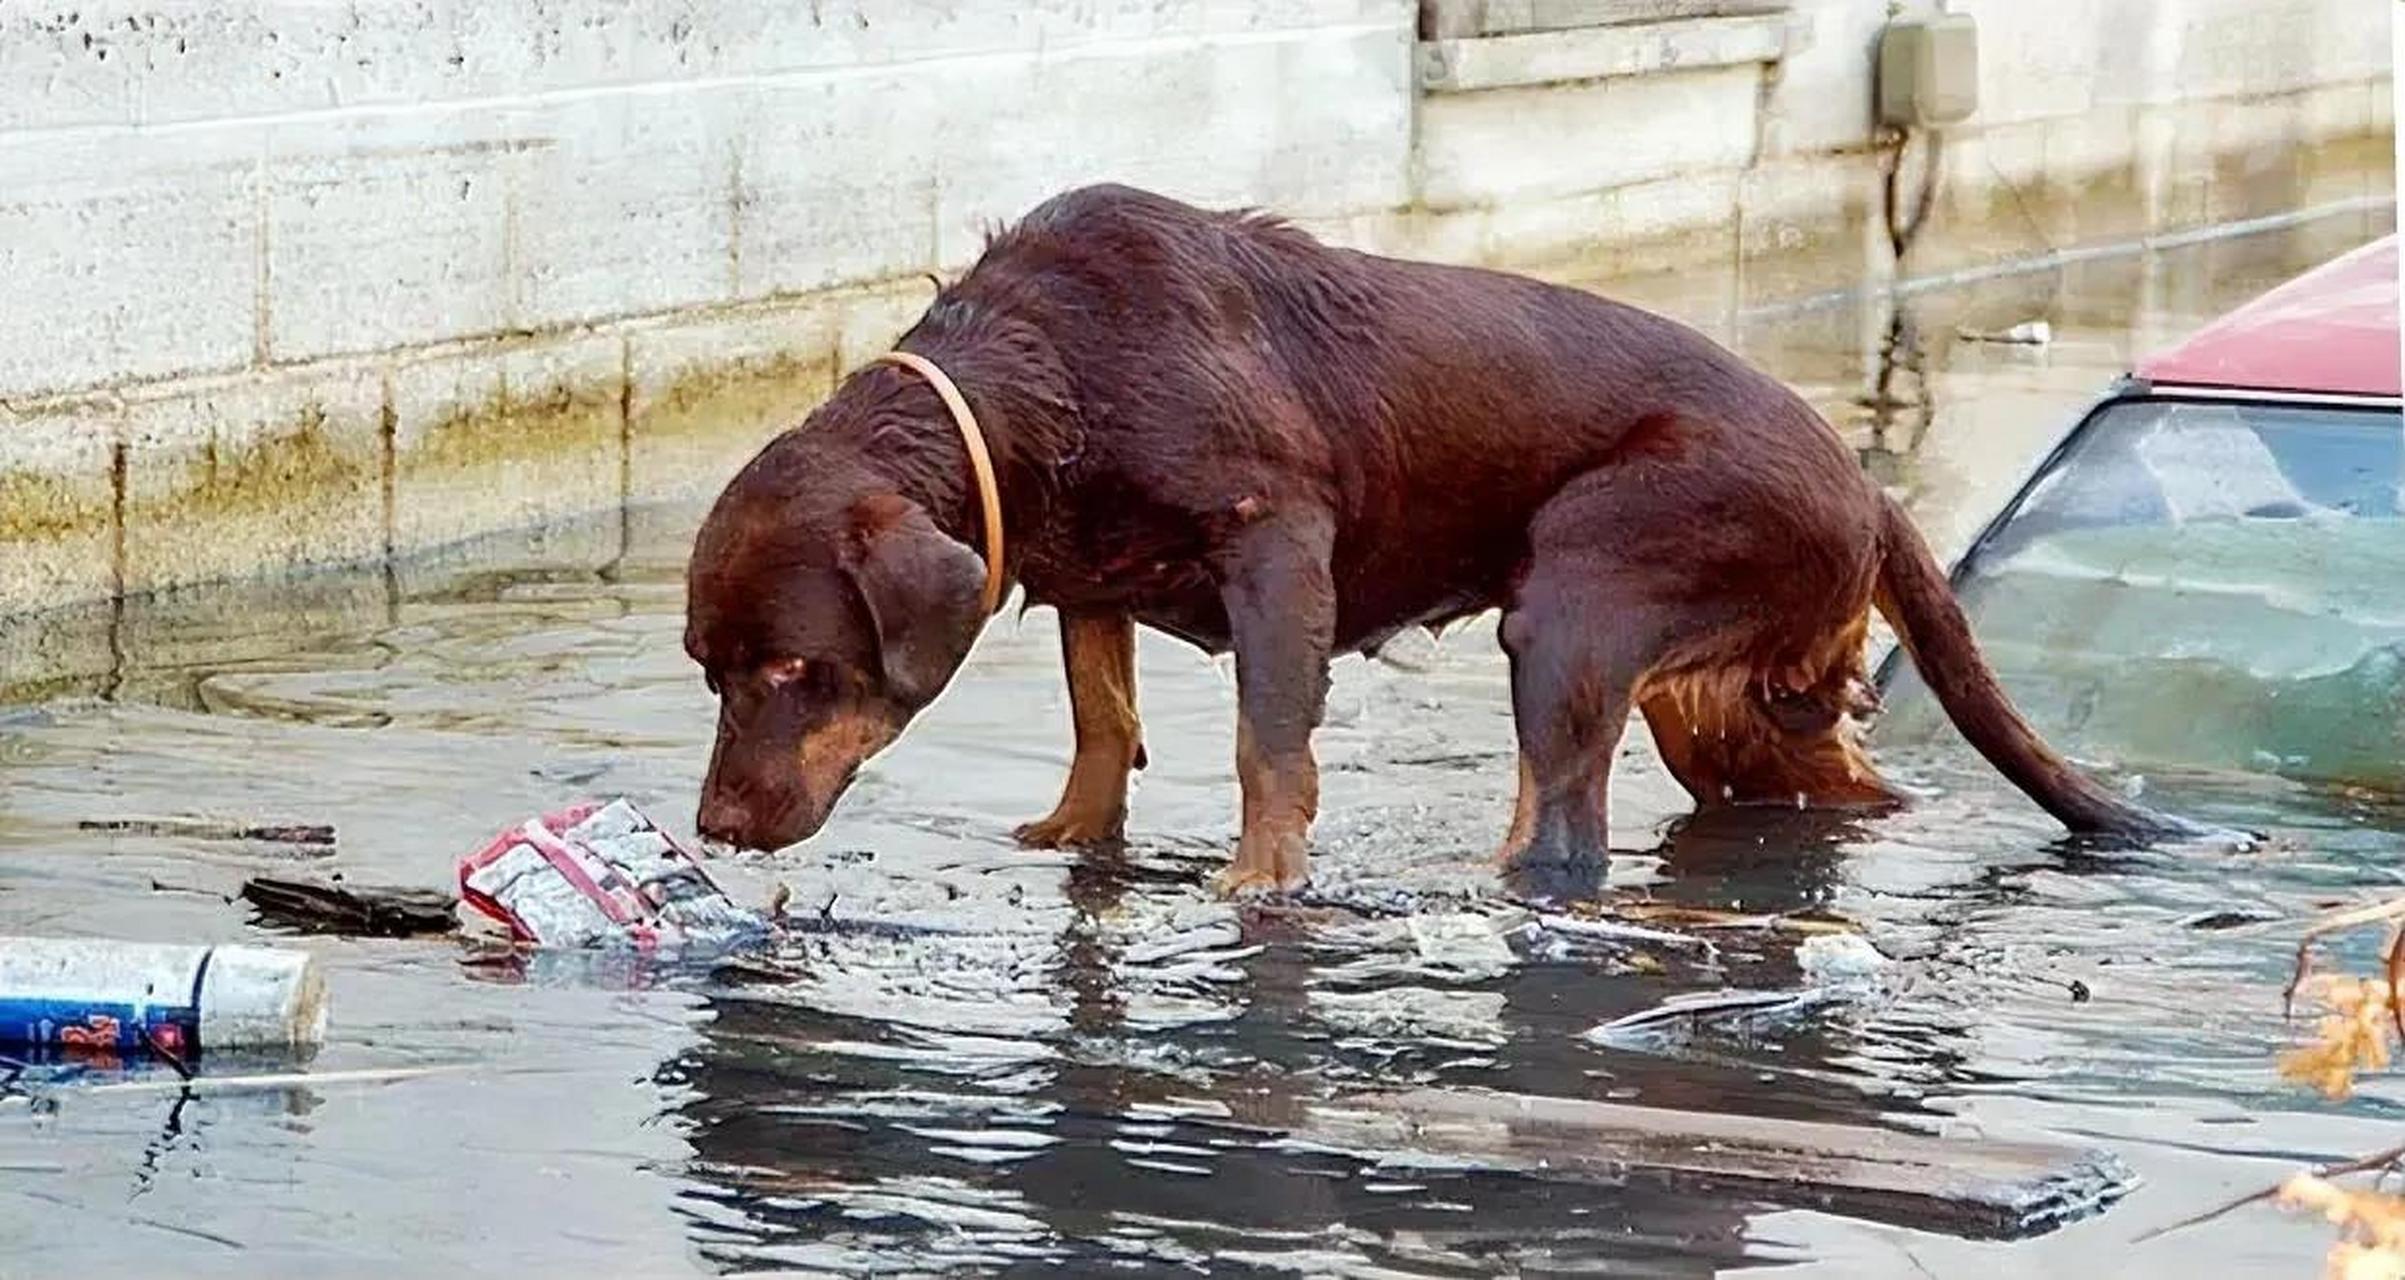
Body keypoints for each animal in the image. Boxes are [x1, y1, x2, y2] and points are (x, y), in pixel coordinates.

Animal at [687, 185, 2202, 895]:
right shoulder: (1082, 581)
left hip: (1580, 602)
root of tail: (1864, 483)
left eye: (793, 673)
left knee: (1563, 836)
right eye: (711, 670)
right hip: (1735, 711)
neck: (1031, 382)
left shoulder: (1277, 542)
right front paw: (1074, 834)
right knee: (1835, 789)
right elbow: (1099, 721)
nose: (711, 828)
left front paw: (1261, 886)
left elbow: (1269, 746)